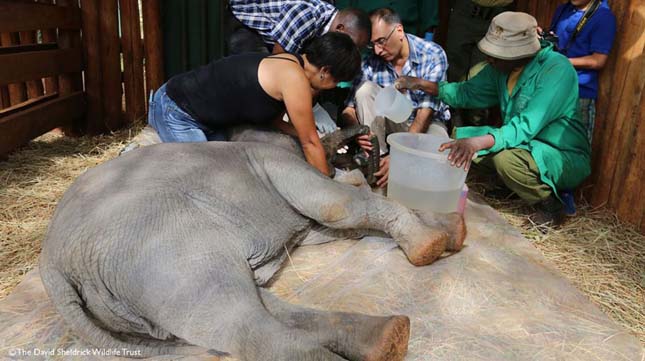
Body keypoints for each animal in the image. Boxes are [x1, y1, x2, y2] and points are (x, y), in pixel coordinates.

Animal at [39, 125, 462, 358]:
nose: (361, 153)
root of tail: (53, 265)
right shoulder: (274, 162)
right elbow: (337, 206)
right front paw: (432, 244)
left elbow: (334, 225)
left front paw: (452, 231)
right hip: (155, 246)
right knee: (242, 319)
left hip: (134, 281)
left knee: (238, 305)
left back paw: (388, 338)